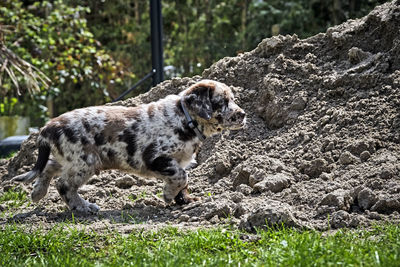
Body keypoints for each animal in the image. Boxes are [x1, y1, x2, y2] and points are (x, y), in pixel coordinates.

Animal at [10, 80, 245, 215]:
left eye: (233, 99)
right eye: (222, 102)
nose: (242, 115)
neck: (184, 118)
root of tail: (49, 126)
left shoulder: (179, 160)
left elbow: (183, 181)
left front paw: (185, 200)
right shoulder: (157, 157)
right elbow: (181, 177)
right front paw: (169, 195)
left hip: (71, 160)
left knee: (48, 167)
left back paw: (37, 193)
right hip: (85, 162)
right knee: (64, 185)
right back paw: (84, 207)